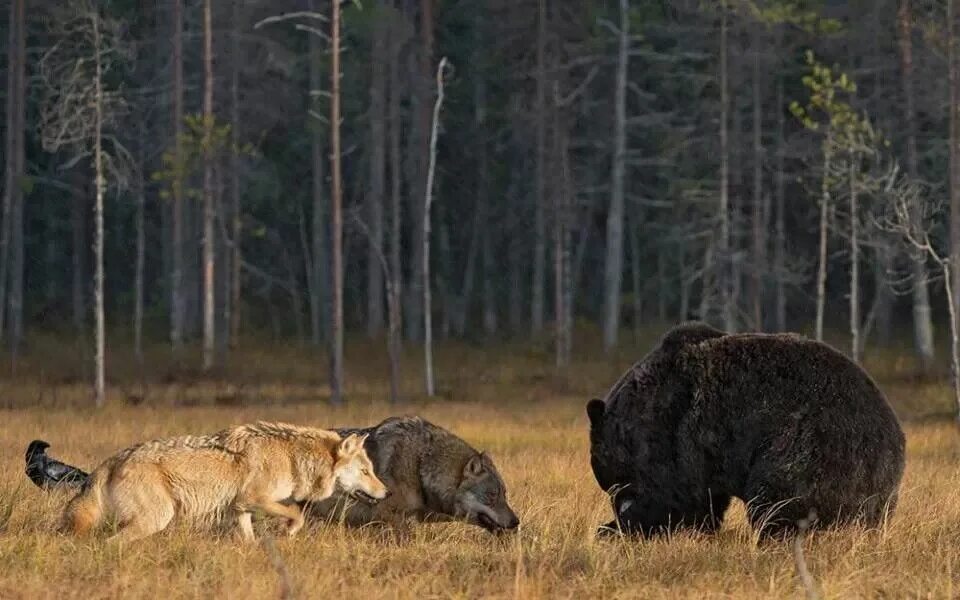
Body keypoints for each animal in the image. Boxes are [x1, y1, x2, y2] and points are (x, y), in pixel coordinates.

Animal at [61, 422, 386, 544]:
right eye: (366, 471)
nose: (387, 491)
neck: (293, 457)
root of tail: (112, 459)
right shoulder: (254, 500)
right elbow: (296, 514)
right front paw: (289, 531)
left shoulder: (239, 509)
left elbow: (250, 539)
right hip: (158, 517)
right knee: (112, 542)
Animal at [584, 324, 908, 540]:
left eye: (607, 473)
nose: (619, 505)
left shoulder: (676, 436)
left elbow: (674, 499)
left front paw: (616, 528)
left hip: (811, 448)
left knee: (777, 499)